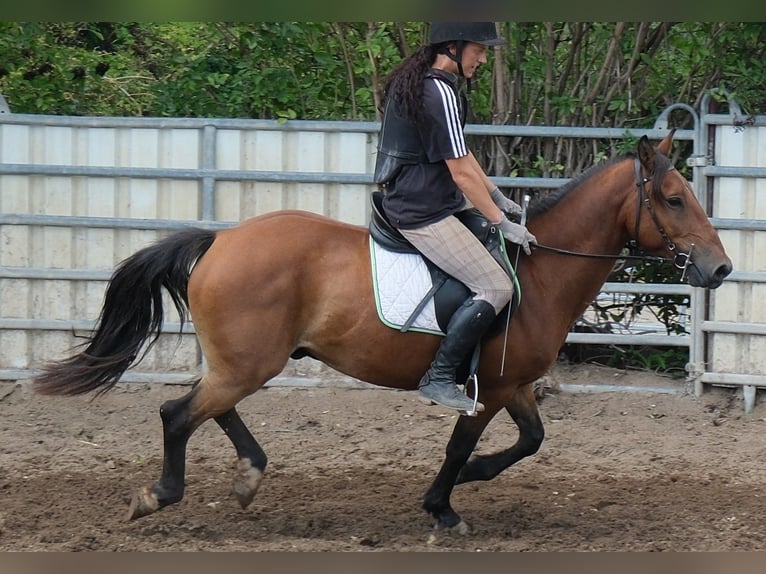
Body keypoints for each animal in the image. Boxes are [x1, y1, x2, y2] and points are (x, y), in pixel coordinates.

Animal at [32, 130, 732, 533]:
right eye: (673, 198)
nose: (721, 269)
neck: (538, 271)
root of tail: (220, 241)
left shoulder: (514, 384)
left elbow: (532, 440)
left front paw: (472, 479)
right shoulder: (489, 388)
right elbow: (461, 445)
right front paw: (445, 505)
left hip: (246, 362)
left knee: (207, 406)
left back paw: (248, 475)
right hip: (249, 363)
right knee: (179, 413)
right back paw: (161, 495)